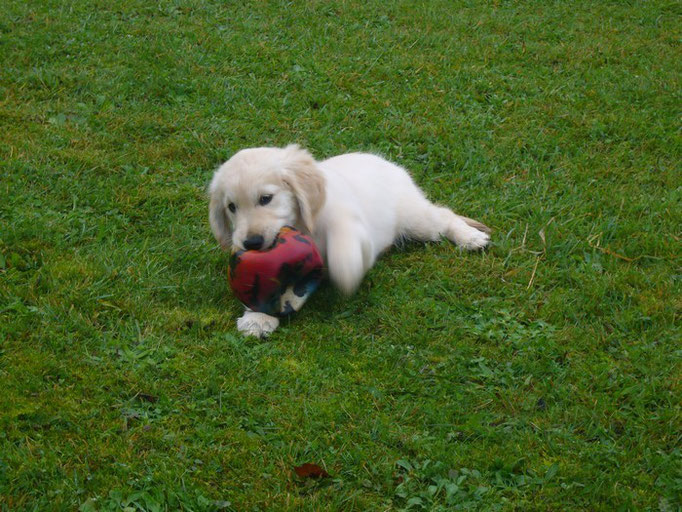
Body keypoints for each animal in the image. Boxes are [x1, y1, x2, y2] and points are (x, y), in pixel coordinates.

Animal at [209, 145, 488, 336]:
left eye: (266, 198)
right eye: (231, 207)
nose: (252, 243)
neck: (302, 224)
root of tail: (390, 164)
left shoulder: (348, 222)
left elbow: (342, 245)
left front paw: (344, 272)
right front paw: (258, 317)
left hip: (416, 219)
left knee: (444, 216)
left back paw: (470, 237)